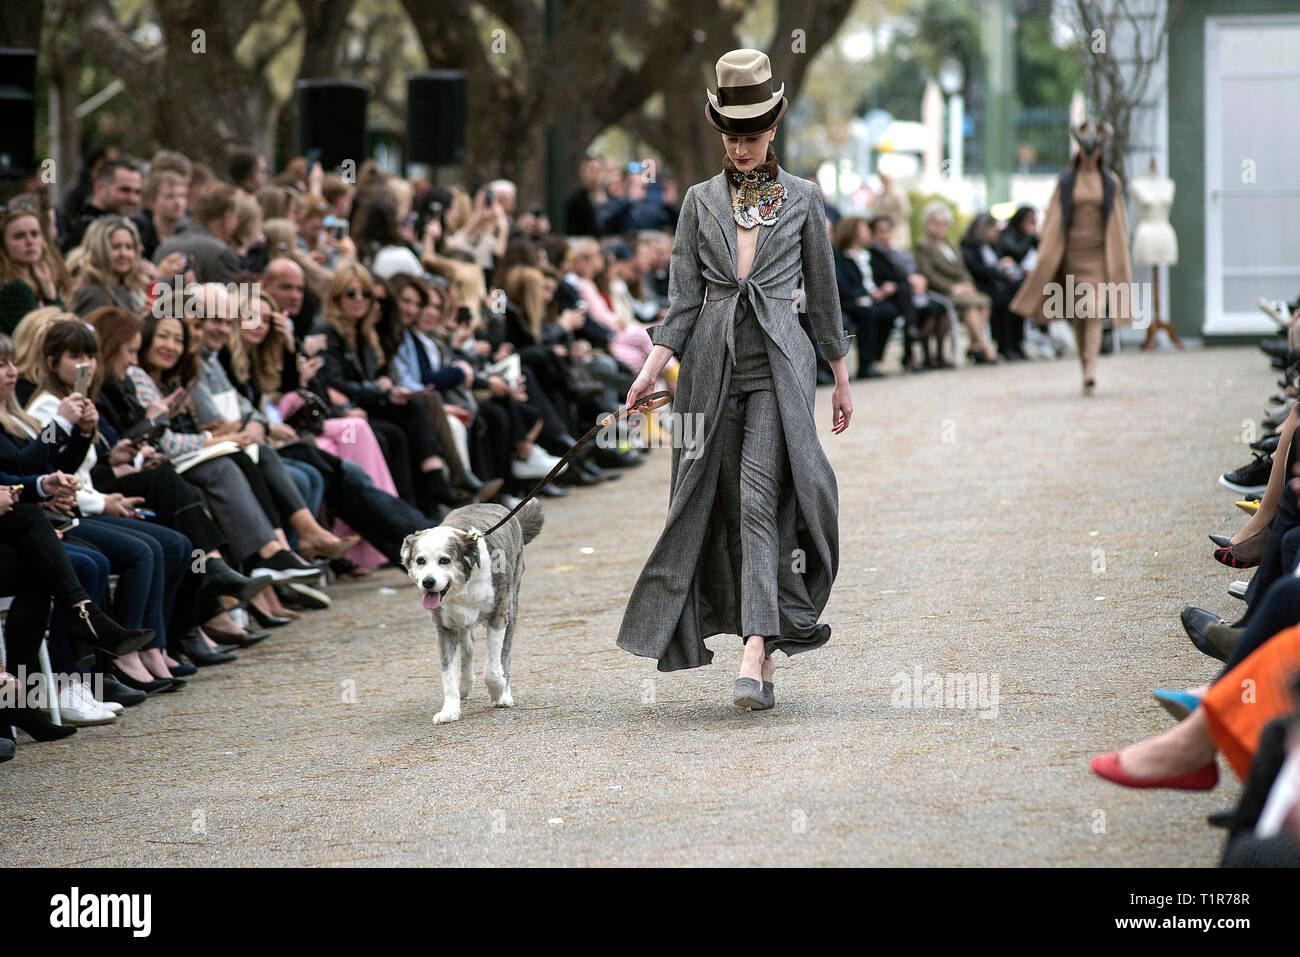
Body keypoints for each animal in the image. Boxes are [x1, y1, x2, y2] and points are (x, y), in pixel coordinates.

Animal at [395, 496, 538, 722]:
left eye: (445, 560)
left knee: (504, 652)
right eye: (420, 561)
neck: (465, 585)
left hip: (512, 602)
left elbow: (493, 668)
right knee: (468, 647)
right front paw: (450, 710)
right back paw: (465, 685)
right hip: (461, 622)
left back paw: (504, 692)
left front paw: (498, 691)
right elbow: (448, 674)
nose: (428, 582)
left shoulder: (498, 617)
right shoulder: (445, 628)